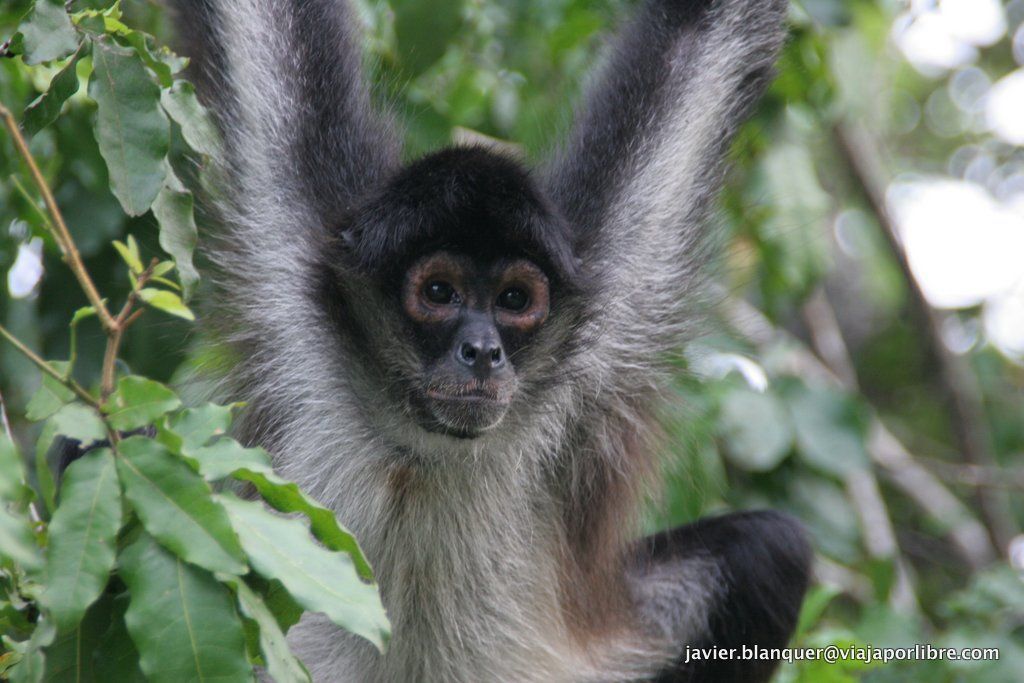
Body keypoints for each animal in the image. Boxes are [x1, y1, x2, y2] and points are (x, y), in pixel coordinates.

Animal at [165, 0, 812, 680]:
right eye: (440, 292)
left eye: (514, 300)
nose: (482, 352)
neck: (427, 447)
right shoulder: (296, 284)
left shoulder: (607, 303)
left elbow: (706, 33)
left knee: (772, 549)